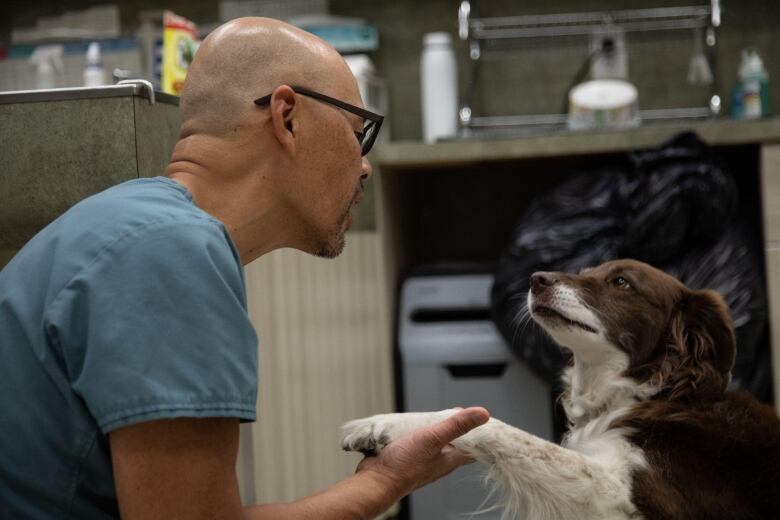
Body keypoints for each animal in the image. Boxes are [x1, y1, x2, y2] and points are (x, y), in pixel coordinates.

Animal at [342, 260, 780, 520]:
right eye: (587, 269)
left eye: (621, 281)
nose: (535, 279)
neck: (638, 394)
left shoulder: (620, 496)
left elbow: (496, 427)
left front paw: (386, 424)